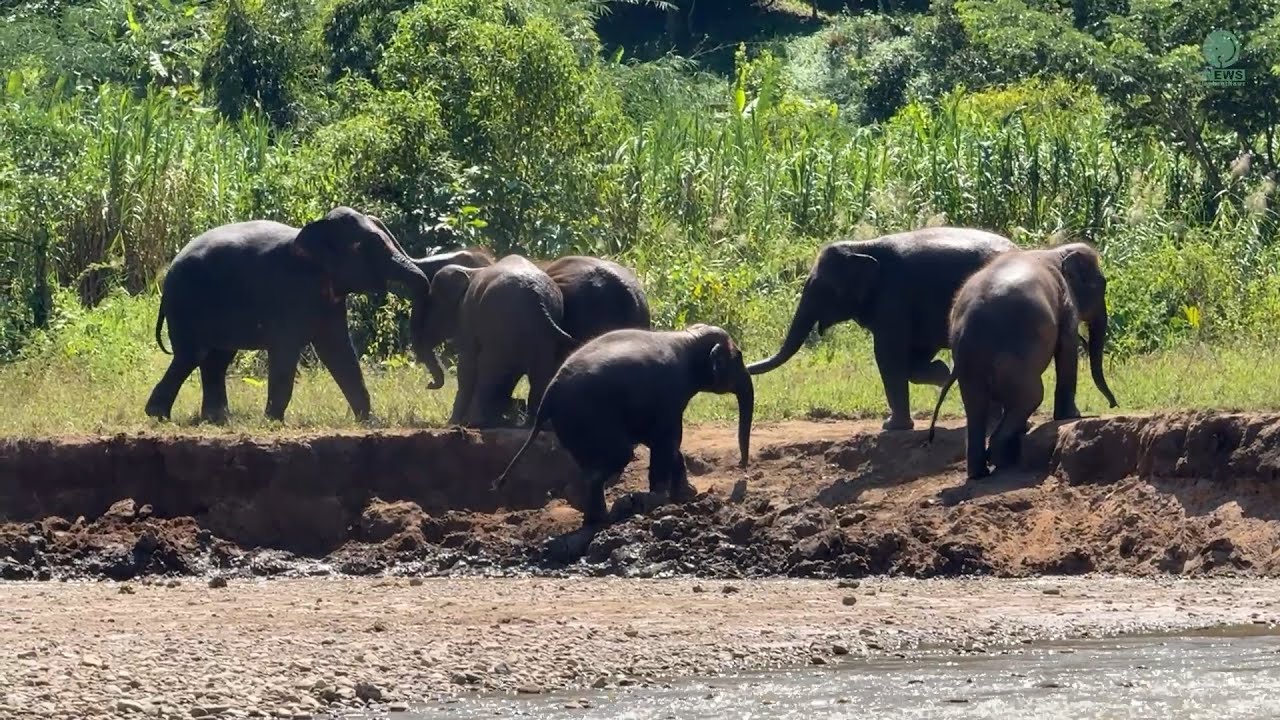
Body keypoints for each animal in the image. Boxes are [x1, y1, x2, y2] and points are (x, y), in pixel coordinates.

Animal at [145, 206, 431, 423]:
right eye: (362, 246)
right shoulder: (289, 291)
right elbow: (287, 349)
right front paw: (273, 422)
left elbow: (337, 350)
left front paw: (369, 422)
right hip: (186, 305)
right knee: (193, 355)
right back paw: (158, 416)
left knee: (216, 359)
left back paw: (217, 419)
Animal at [427, 254, 579, 427]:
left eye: (433, 303)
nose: (429, 384)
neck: (470, 270)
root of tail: (535, 294)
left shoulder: (467, 315)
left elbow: (467, 363)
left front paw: (453, 423)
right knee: (537, 372)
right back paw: (526, 423)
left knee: (487, 365)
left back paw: (478, 422)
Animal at [492, 324, 754, 528]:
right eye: (739, 357)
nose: (742, 466)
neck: (688, 336)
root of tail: (549, 393)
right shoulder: (669, 393)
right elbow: (668, 440)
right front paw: (662, 500)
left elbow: (661, 441)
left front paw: (687, 495)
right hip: (588, 416)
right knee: (617, 456)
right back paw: (604, 516)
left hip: (571, 425)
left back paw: (594, 515)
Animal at [747, 226, 1018, 431]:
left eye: (823, 288)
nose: (744, 365)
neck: (861, 247)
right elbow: (914, 357)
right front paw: (942, 374)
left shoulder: (893, 297)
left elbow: (887, 354)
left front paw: (892, 426)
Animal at [926, 241, 1119, 480]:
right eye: (1102, 285)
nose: (1113, 404)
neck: (1057, 251)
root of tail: (969, 332)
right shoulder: (1065, 302)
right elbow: (1067, 349)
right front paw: (1072, 415)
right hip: (1012, 358)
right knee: (1032, 395)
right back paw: (1000, 457)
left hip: (972, 367)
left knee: (976, 406)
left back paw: (980, 471)